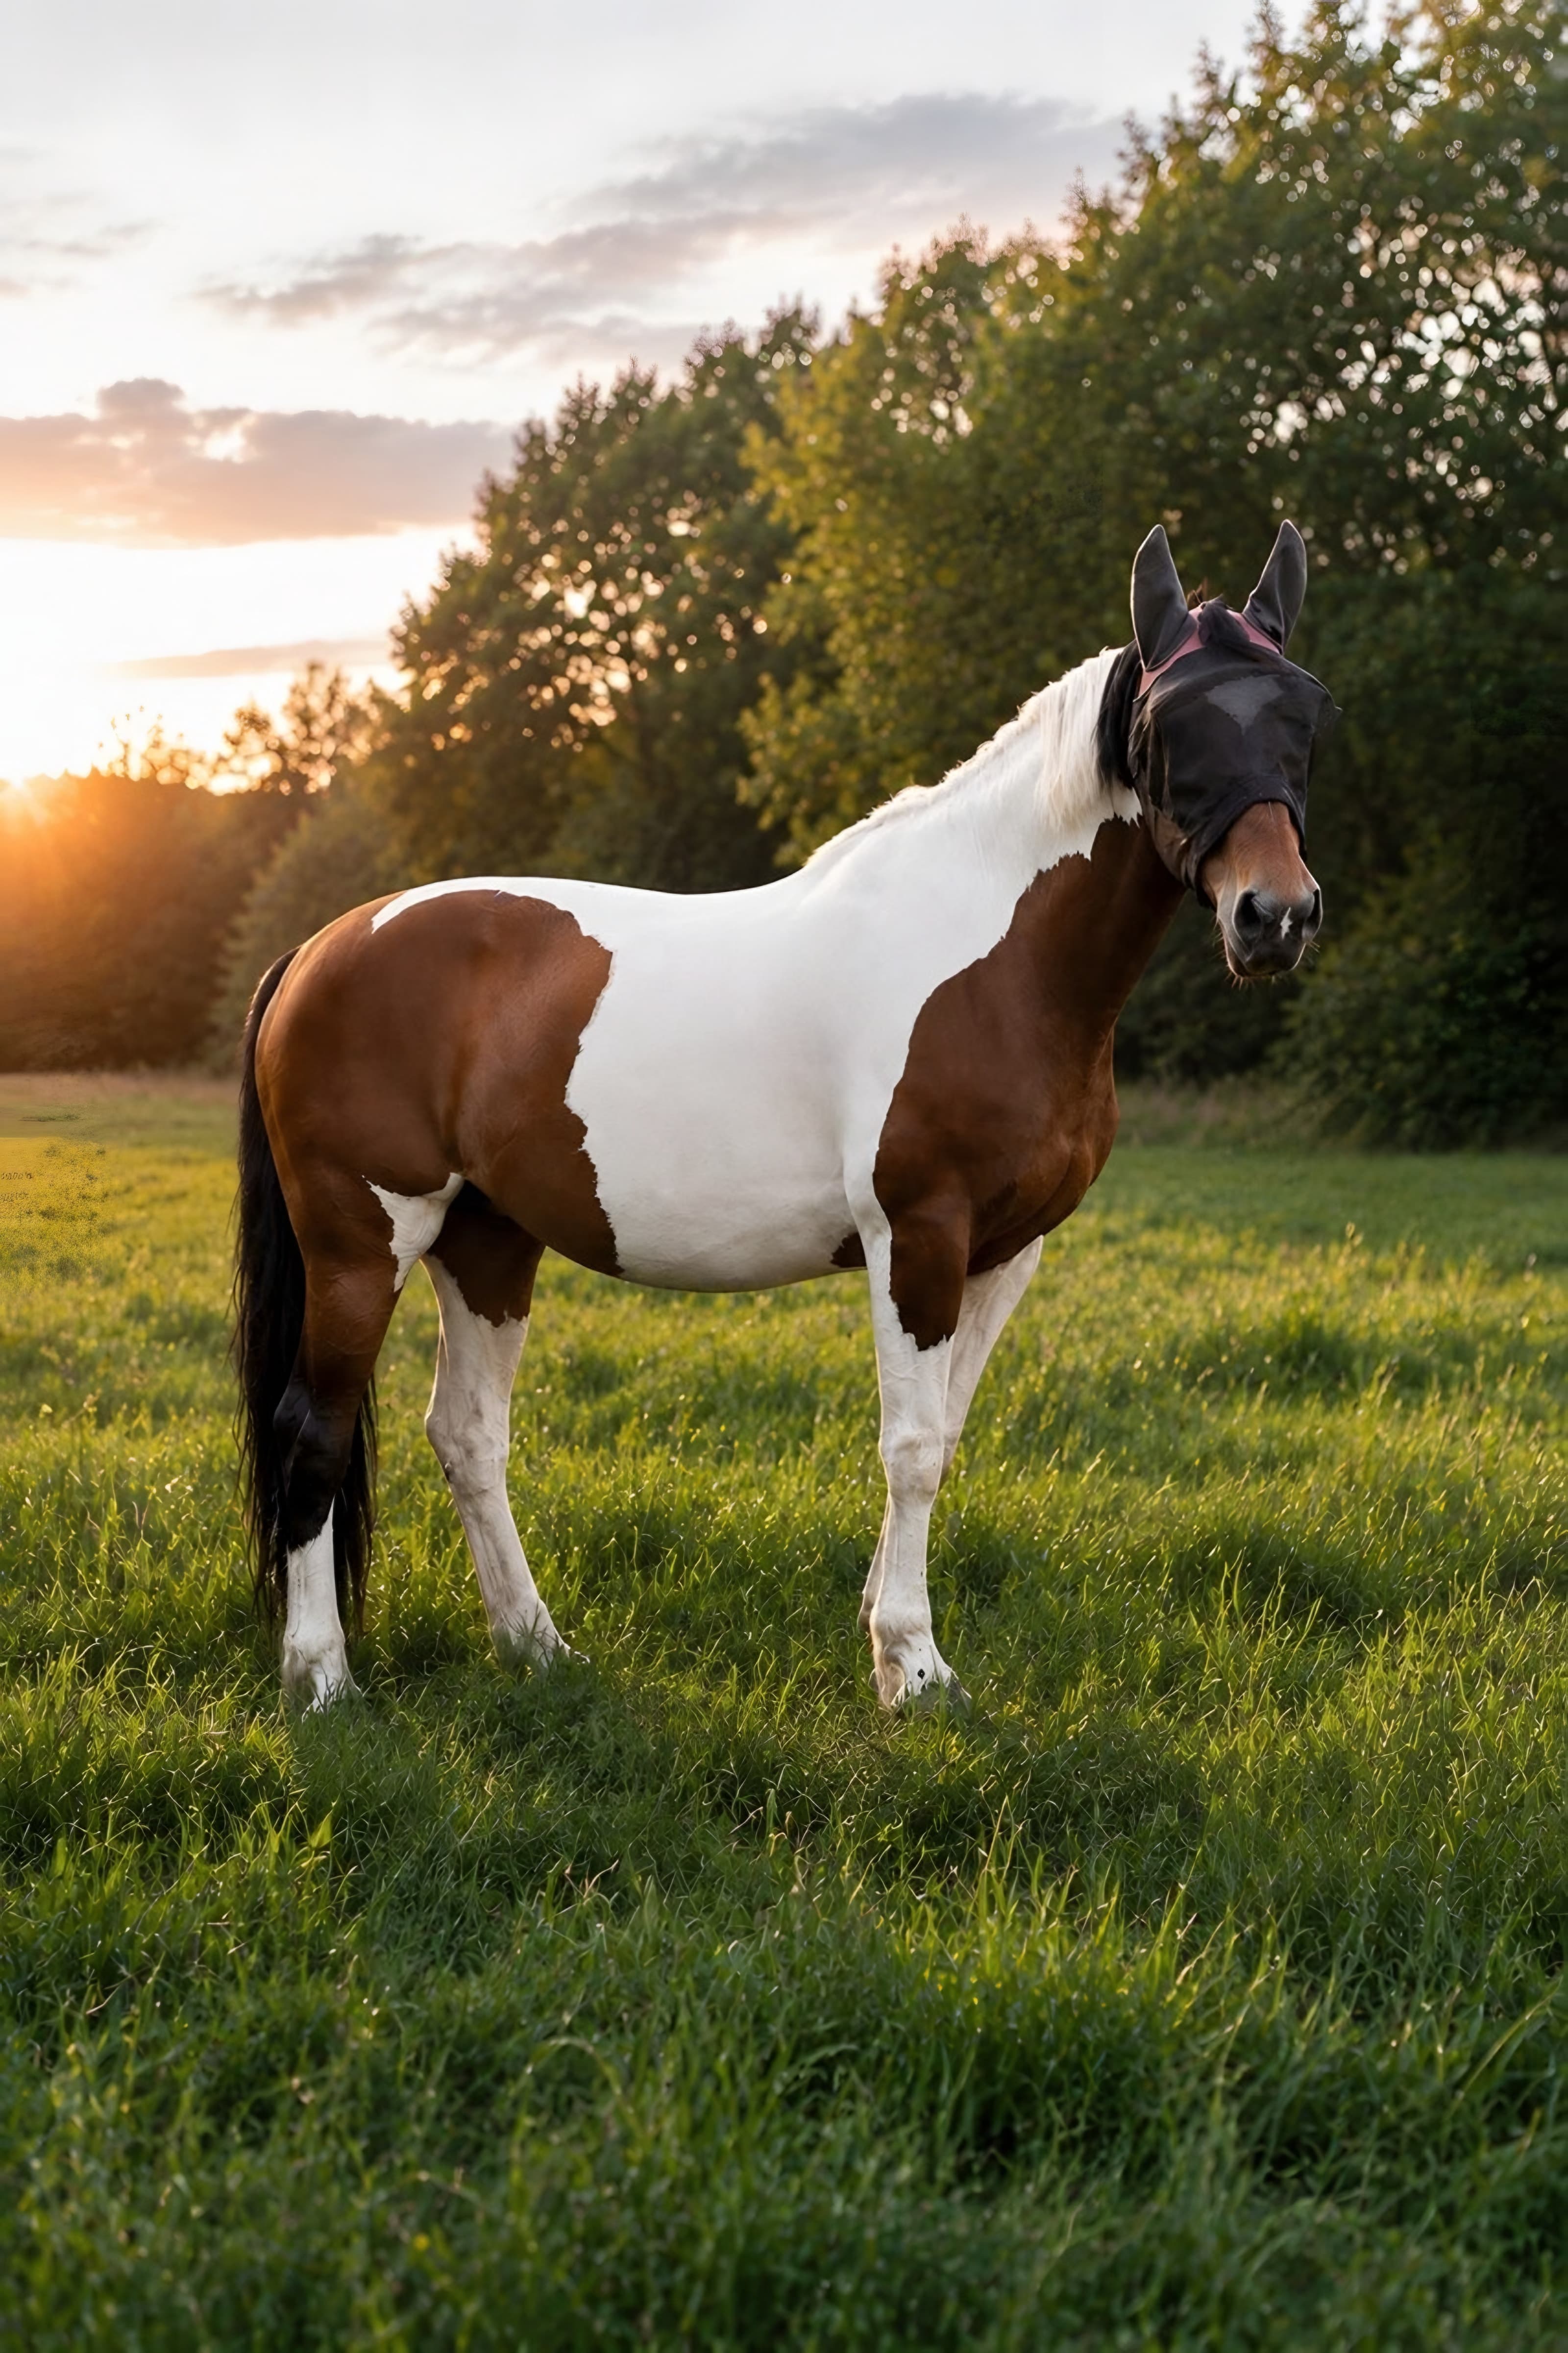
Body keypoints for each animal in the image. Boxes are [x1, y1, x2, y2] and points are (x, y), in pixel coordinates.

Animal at [234, 521, 1334, 1711]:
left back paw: (535, 1646)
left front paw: (885, 1635)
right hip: (364, 1242)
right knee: (311, 1432)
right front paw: (913, 1665)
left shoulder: (1008, 1254)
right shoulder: (918, 1235)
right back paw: (324, 1680)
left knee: (468, 1434)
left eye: (1306, 711)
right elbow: (909, 1447)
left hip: (486, 1240)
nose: (1274, 916)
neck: (991, 958)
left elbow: (945, 1434)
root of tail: (321, 946)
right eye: (1169, 720)